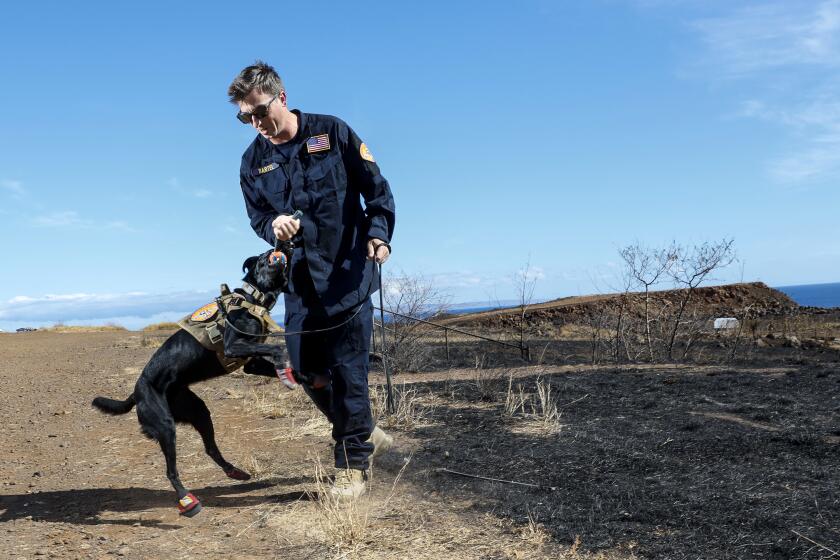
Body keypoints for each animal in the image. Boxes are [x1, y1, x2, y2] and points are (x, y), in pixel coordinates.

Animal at [93, 249, 302, 516]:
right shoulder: (234, 347)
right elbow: (278, 348)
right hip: (165, 426)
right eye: (267, 256)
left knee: (209, 448)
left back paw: (233, 471)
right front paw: (285, 369)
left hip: (198, 411)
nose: (286, 247)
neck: (253, 299)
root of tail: (135, 393)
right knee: (170, 471)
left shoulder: (251, 363)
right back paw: (187, 499)